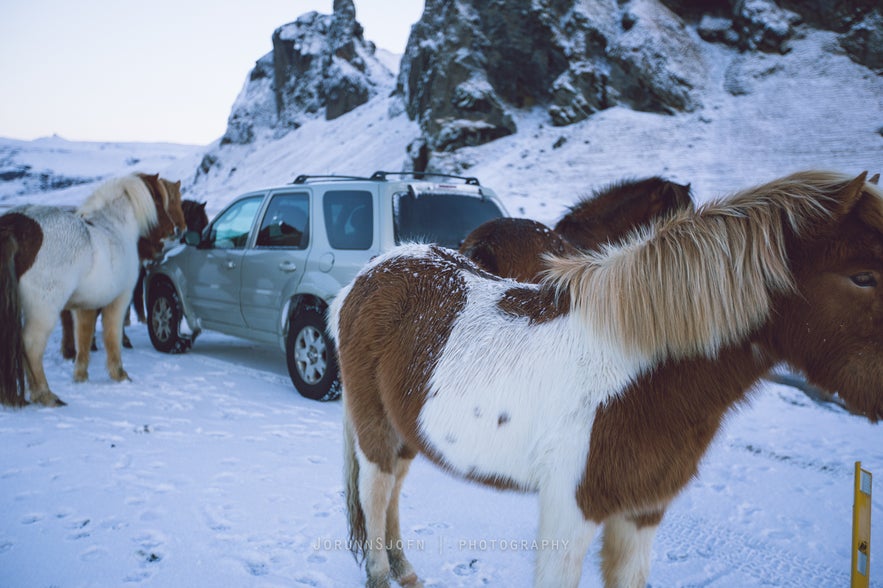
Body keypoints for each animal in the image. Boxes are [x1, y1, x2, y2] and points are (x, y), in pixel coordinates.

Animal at [0, 172, 185, 406]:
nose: (174, 230)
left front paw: (80, 376)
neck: (115, 229)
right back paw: (45, 394)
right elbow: (112, 337)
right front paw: (119, 374)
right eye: (159, 201)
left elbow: (84, 340)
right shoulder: (118, 302)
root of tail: (20, 224)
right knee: (31, 346)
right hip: (44, 311)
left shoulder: (85, 307)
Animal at [332, 171, 883, 588]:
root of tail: (374, 271)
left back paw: (405, 570)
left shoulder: (641, 514)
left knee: (393, 491)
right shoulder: (571, 511)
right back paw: (381, 574)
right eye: (863, 277)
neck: (638, 374)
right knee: (375, 495)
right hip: (374, 429)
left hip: (406, 432)